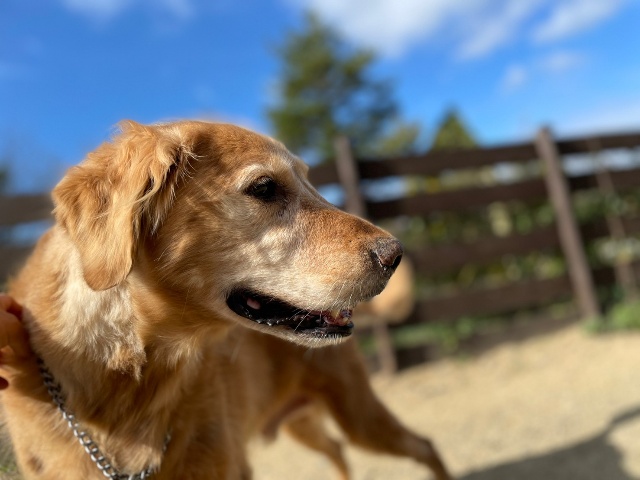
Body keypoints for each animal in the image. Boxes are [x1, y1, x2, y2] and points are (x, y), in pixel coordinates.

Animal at [1, 120, 450, 479]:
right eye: (264, 188)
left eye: (310, 181)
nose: (395, 254)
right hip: (307, 421)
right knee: (339, 449)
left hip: (358, 415)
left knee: (423, 445)